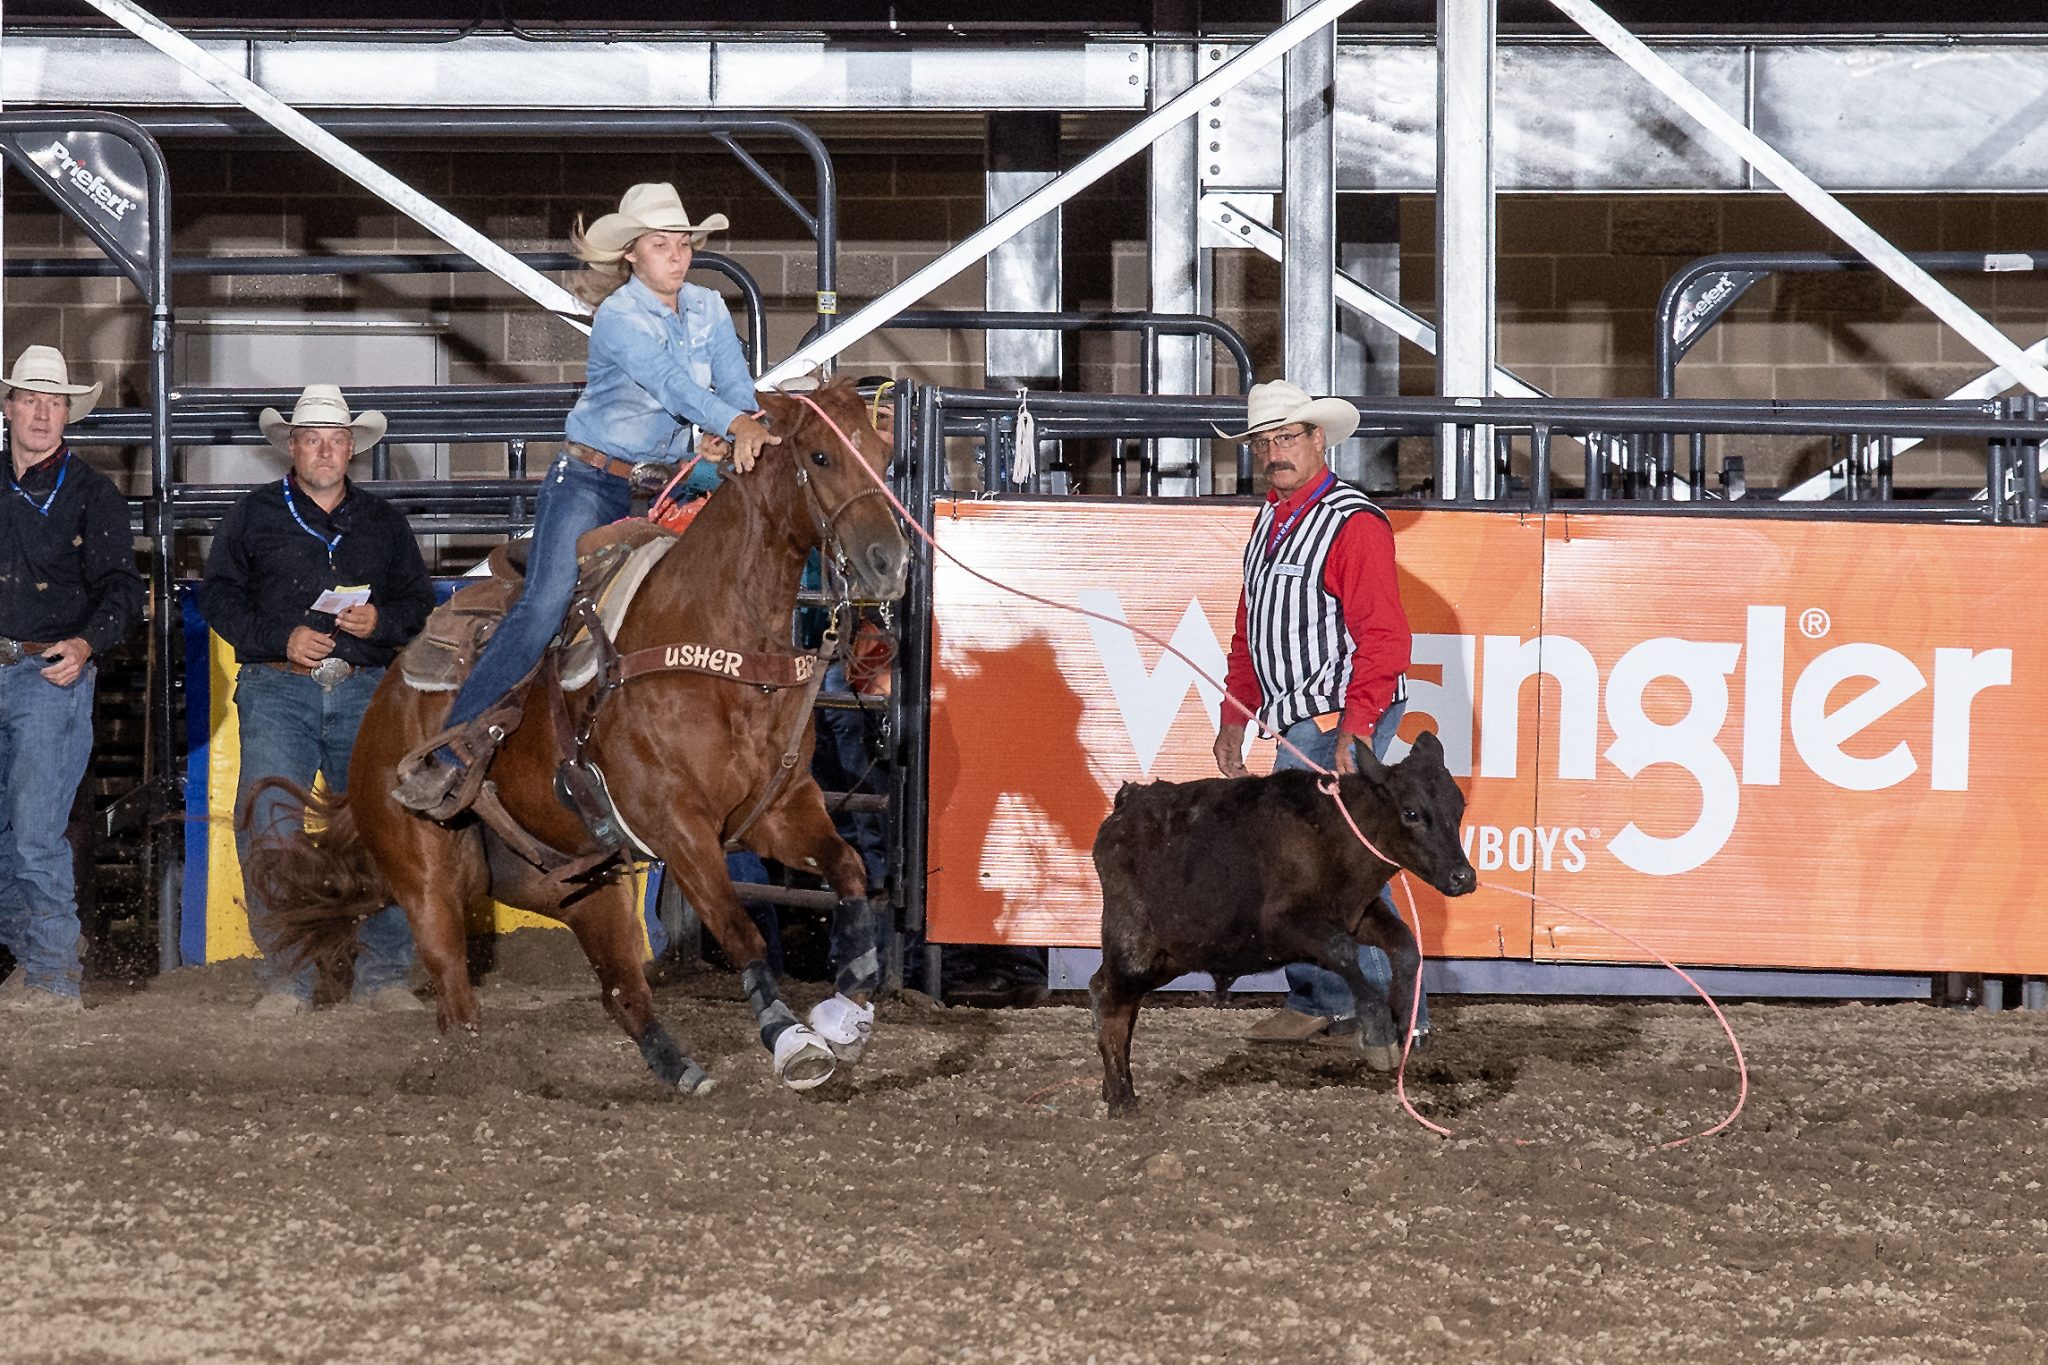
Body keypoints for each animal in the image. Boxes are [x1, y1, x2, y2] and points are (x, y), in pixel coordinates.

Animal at [243, 382, 909, 1096]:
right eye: (820, 456)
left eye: (883, 457)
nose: (889, 563)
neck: (720, 645)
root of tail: (381, 707)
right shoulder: (677, 827)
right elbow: (741, 931)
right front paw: (792, 1040)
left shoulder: (778, 810)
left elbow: (850, 873)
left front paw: (846, 1015)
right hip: (425, 878)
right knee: (455, 991)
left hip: (575, 881)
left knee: (622, 992)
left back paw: (681, 1072)